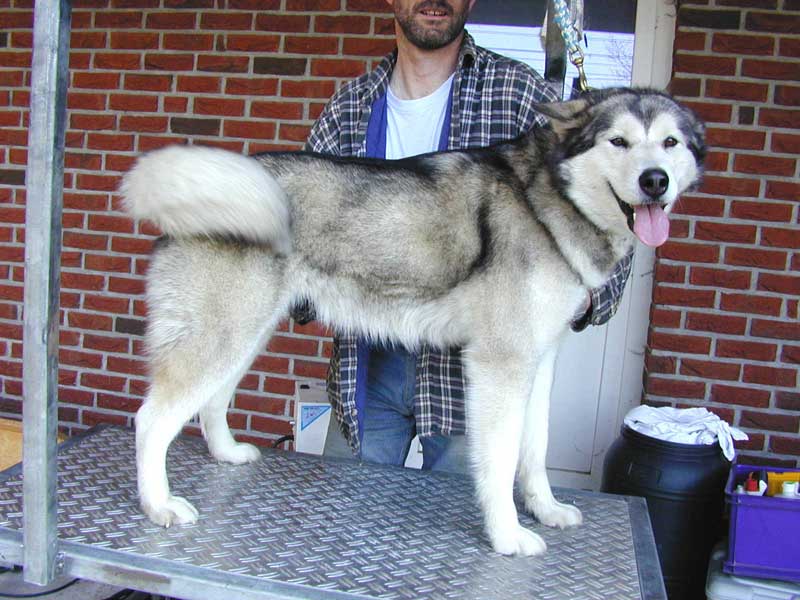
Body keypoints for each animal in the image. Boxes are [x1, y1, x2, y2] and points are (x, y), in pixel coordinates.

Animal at [121, 88, 705, 556]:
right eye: (619, 142)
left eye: (670, 143)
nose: (655, 181)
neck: (548, 199)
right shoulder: (500, 365)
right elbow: (500, 460)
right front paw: (507, 535)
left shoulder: (540, 363)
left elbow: (534, 451)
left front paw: (545, 509)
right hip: (223, 336)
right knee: (151, 421)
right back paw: (159, 504)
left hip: (244, 335)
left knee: (211, 402)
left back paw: (225, 455)